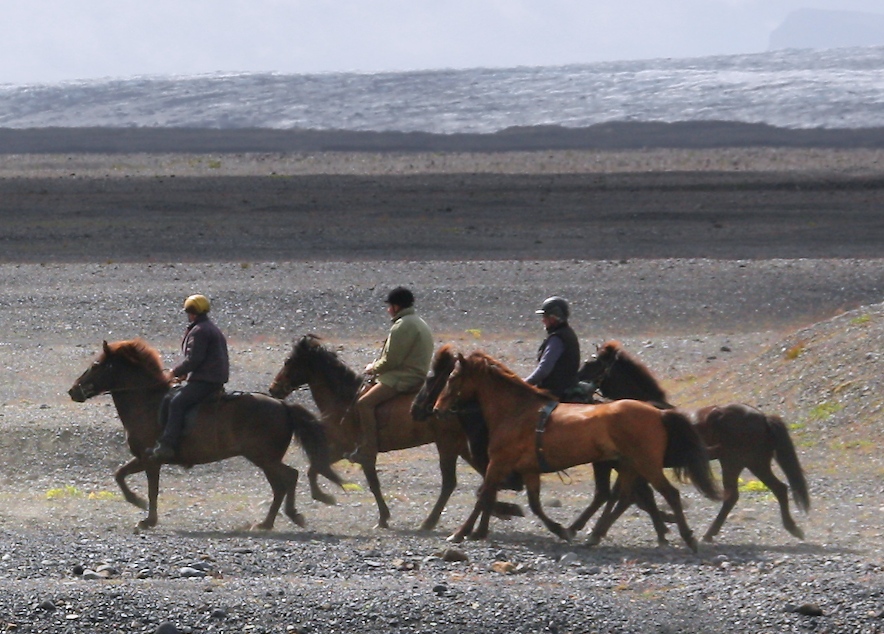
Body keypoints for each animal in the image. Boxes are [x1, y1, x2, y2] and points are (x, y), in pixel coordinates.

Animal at [68, 339, 344, 530]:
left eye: (95, 365)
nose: (73, 391)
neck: (146, 401)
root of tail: (283, 406)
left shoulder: (150, 459)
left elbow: (149, 488)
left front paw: (146, 516)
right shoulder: (143, 458)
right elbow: (120, 474)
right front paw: (139, 504)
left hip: (264, 458)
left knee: (289, 478)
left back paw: (287, 516)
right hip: (265, 460)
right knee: (282, 484)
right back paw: (269, 522)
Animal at [268, 334, 521, 531]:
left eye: (289, 361)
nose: (273, 389)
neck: (344, 401)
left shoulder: (356, 452)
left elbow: (368, 482)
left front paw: (380, 517)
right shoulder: (341, 450)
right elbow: (316, 468)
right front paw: (324, 497)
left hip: (447, 444)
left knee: (450, 482)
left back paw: (430, 522)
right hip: (460, 445)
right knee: (485, 473)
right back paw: (503, 509)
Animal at [432, 350, 721, 551]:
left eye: (453, 377)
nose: (437, 408)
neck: (516, 411)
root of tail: (657, 412)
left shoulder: (498, 464)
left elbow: (484, 495)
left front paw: (461, 532)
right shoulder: (529, 470)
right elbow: (534, 505)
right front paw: (561, 530)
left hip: (644, 464)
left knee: (668, 494)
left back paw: (688, 538)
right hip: (627, 465)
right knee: (624, 495)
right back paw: (595, 535)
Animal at [577, 340, 810, 542]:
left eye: (590, 363)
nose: (575, 381)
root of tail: (762, 417)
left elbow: (625, 496)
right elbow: (633, 497)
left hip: (737, 462)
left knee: (735, 495)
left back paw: (711, 533)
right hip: (755, 462)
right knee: (779, 488)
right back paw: (792, 528)